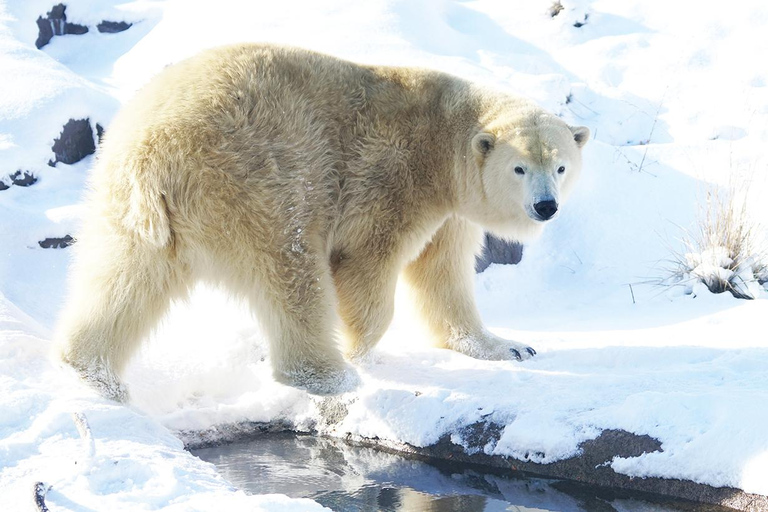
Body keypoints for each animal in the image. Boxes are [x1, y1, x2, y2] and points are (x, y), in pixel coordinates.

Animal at [57, 44, 592, 400]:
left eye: (560, 166)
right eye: (520, 167)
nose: (546, 206)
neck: (443, 135)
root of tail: (155, 152)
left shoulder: (450, 209)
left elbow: (443, 275)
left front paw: (508, 347)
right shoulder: (394, 179)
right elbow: (367, 266)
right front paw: (361, 349)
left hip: (128, 205)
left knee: (124, 277)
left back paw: (91, 372)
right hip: (256, 181)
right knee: (291, 269)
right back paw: (332, 374)